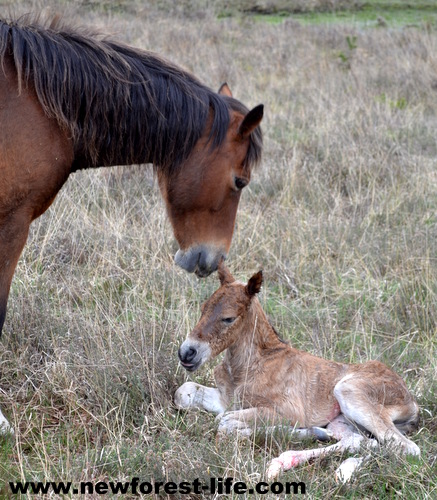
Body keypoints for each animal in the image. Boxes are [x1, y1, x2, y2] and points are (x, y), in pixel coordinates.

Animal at [174, 262, 418, 480]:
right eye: (203, 308)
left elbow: (224, 422)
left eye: (228, 318)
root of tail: (412, 402)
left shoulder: (289, 409)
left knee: (406, 447)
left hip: (350, 392)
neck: (246, 368)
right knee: (362, 441)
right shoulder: (226, 399)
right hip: (343, 422)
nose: (187, 353)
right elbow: (184, 393)